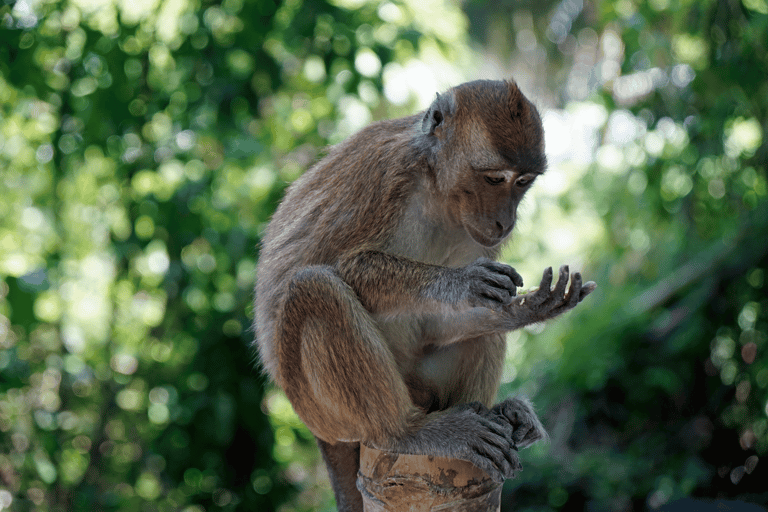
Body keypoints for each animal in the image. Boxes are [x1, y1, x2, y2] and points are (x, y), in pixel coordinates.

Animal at [255, 78, 596, 510]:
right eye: (494, 179)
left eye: (523, 182)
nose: (505, 221)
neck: (437, 188)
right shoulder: (386, 173)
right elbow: (341, 263)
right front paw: (461, 282)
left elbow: (452, 318)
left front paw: (529, 308)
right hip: (319, 408)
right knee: (313, 286)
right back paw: (408, 431)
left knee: (479, 330)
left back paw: (502, 412)